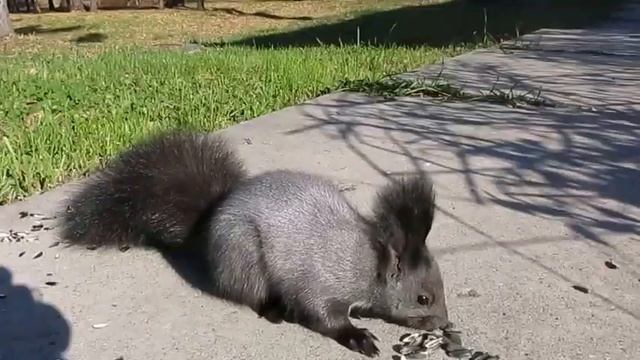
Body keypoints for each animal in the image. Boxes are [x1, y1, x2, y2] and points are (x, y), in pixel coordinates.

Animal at [60, 130, 450, 358]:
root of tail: (211, 220)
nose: (444, 324)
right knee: (251, 294)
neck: (368, 264)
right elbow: (323, 317)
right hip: (245, 257)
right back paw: (275, 310)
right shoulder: (320, 285)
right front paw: (358, 337)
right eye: (423, 298)